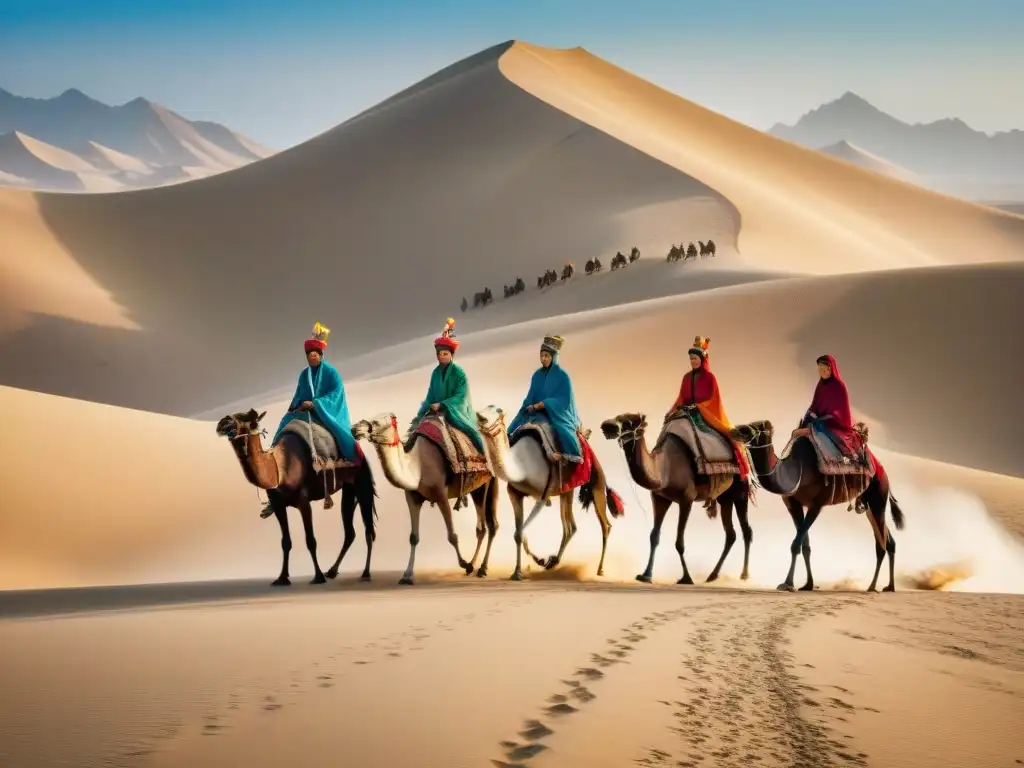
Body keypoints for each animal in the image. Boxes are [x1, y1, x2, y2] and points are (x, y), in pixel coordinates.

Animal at [217, 411, 380, 585]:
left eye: (251, 421)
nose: (224, 422)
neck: (280, 468)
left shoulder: (303, 501)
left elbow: (310, 540)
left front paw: (318, 576)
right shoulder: (278, 504)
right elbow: (285, 541)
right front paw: (282, 578)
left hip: (361, 481)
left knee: (368, 529)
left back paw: (365, 573)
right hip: (349, 490)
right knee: (350, 532)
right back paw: (332, 571)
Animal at [352, 415, 499, 581]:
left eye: (376, 422)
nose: (355, 429)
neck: (417, 465)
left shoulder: (441, 495)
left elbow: (452, 536)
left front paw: (464, 564)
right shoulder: (412, 498)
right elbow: (413, 537)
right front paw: (407, 575)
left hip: (486, 482)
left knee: (486, 526)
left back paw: (480, 568)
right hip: (479, 486)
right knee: (486, 526)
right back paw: (475, 566)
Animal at [473, 405, 622, 581]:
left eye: (498, 411)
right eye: (484, 409)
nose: (480, 417)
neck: (521, 466)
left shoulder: (543, 497)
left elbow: (520, 532)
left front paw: (522, 570)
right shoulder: (515, 494)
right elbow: (519, 533)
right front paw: (530, 565)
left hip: (596, 482)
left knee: (605, 525)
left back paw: (600, 569)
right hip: (567, 490)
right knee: (570, 527)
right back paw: (553, 562)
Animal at [598, 415, 753, 581]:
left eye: (629, 422)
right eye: (618, 417)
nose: (607, 426)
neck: (665, 470)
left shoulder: (686, 500)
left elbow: (679, 543)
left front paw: (686, 578)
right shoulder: (659, 498)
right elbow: (654, 536)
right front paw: (646, 574)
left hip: (741, 489)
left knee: (746, 530)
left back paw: (744, 575)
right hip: (725, 498)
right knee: (731, 534)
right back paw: (712, 575)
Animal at [729, 421, 905, 593]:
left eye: (749, 429)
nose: (733, 431)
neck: (796, 471)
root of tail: (882, 471)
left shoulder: (817, 504)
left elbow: (795, 545)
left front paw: (788, 583)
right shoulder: (793, 504)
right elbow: (805, 546)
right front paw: (808, 584)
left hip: (878, 496)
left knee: (881, 544)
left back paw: (873, 586)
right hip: (867, 504)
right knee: (888, 541)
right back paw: (889, 586)